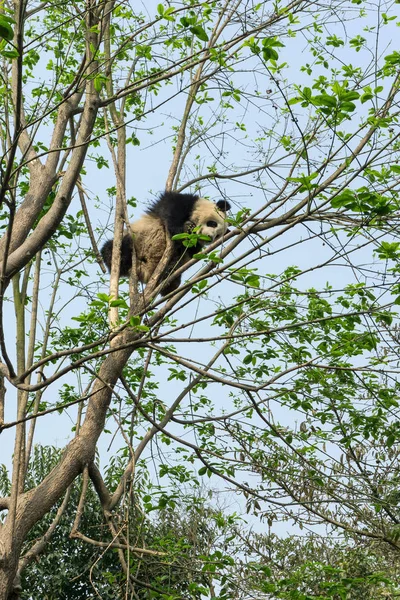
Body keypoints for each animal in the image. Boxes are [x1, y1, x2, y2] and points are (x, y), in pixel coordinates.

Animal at [101, 191, 231, 296]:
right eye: (213, 224)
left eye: (218, 236)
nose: (210, 238)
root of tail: (144, 271)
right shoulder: (183, 202)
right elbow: (172, 211)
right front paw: (185, 228)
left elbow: (190, 251)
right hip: (134, 239)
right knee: (111, 248)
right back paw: (122, 257)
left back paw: (169, 276)